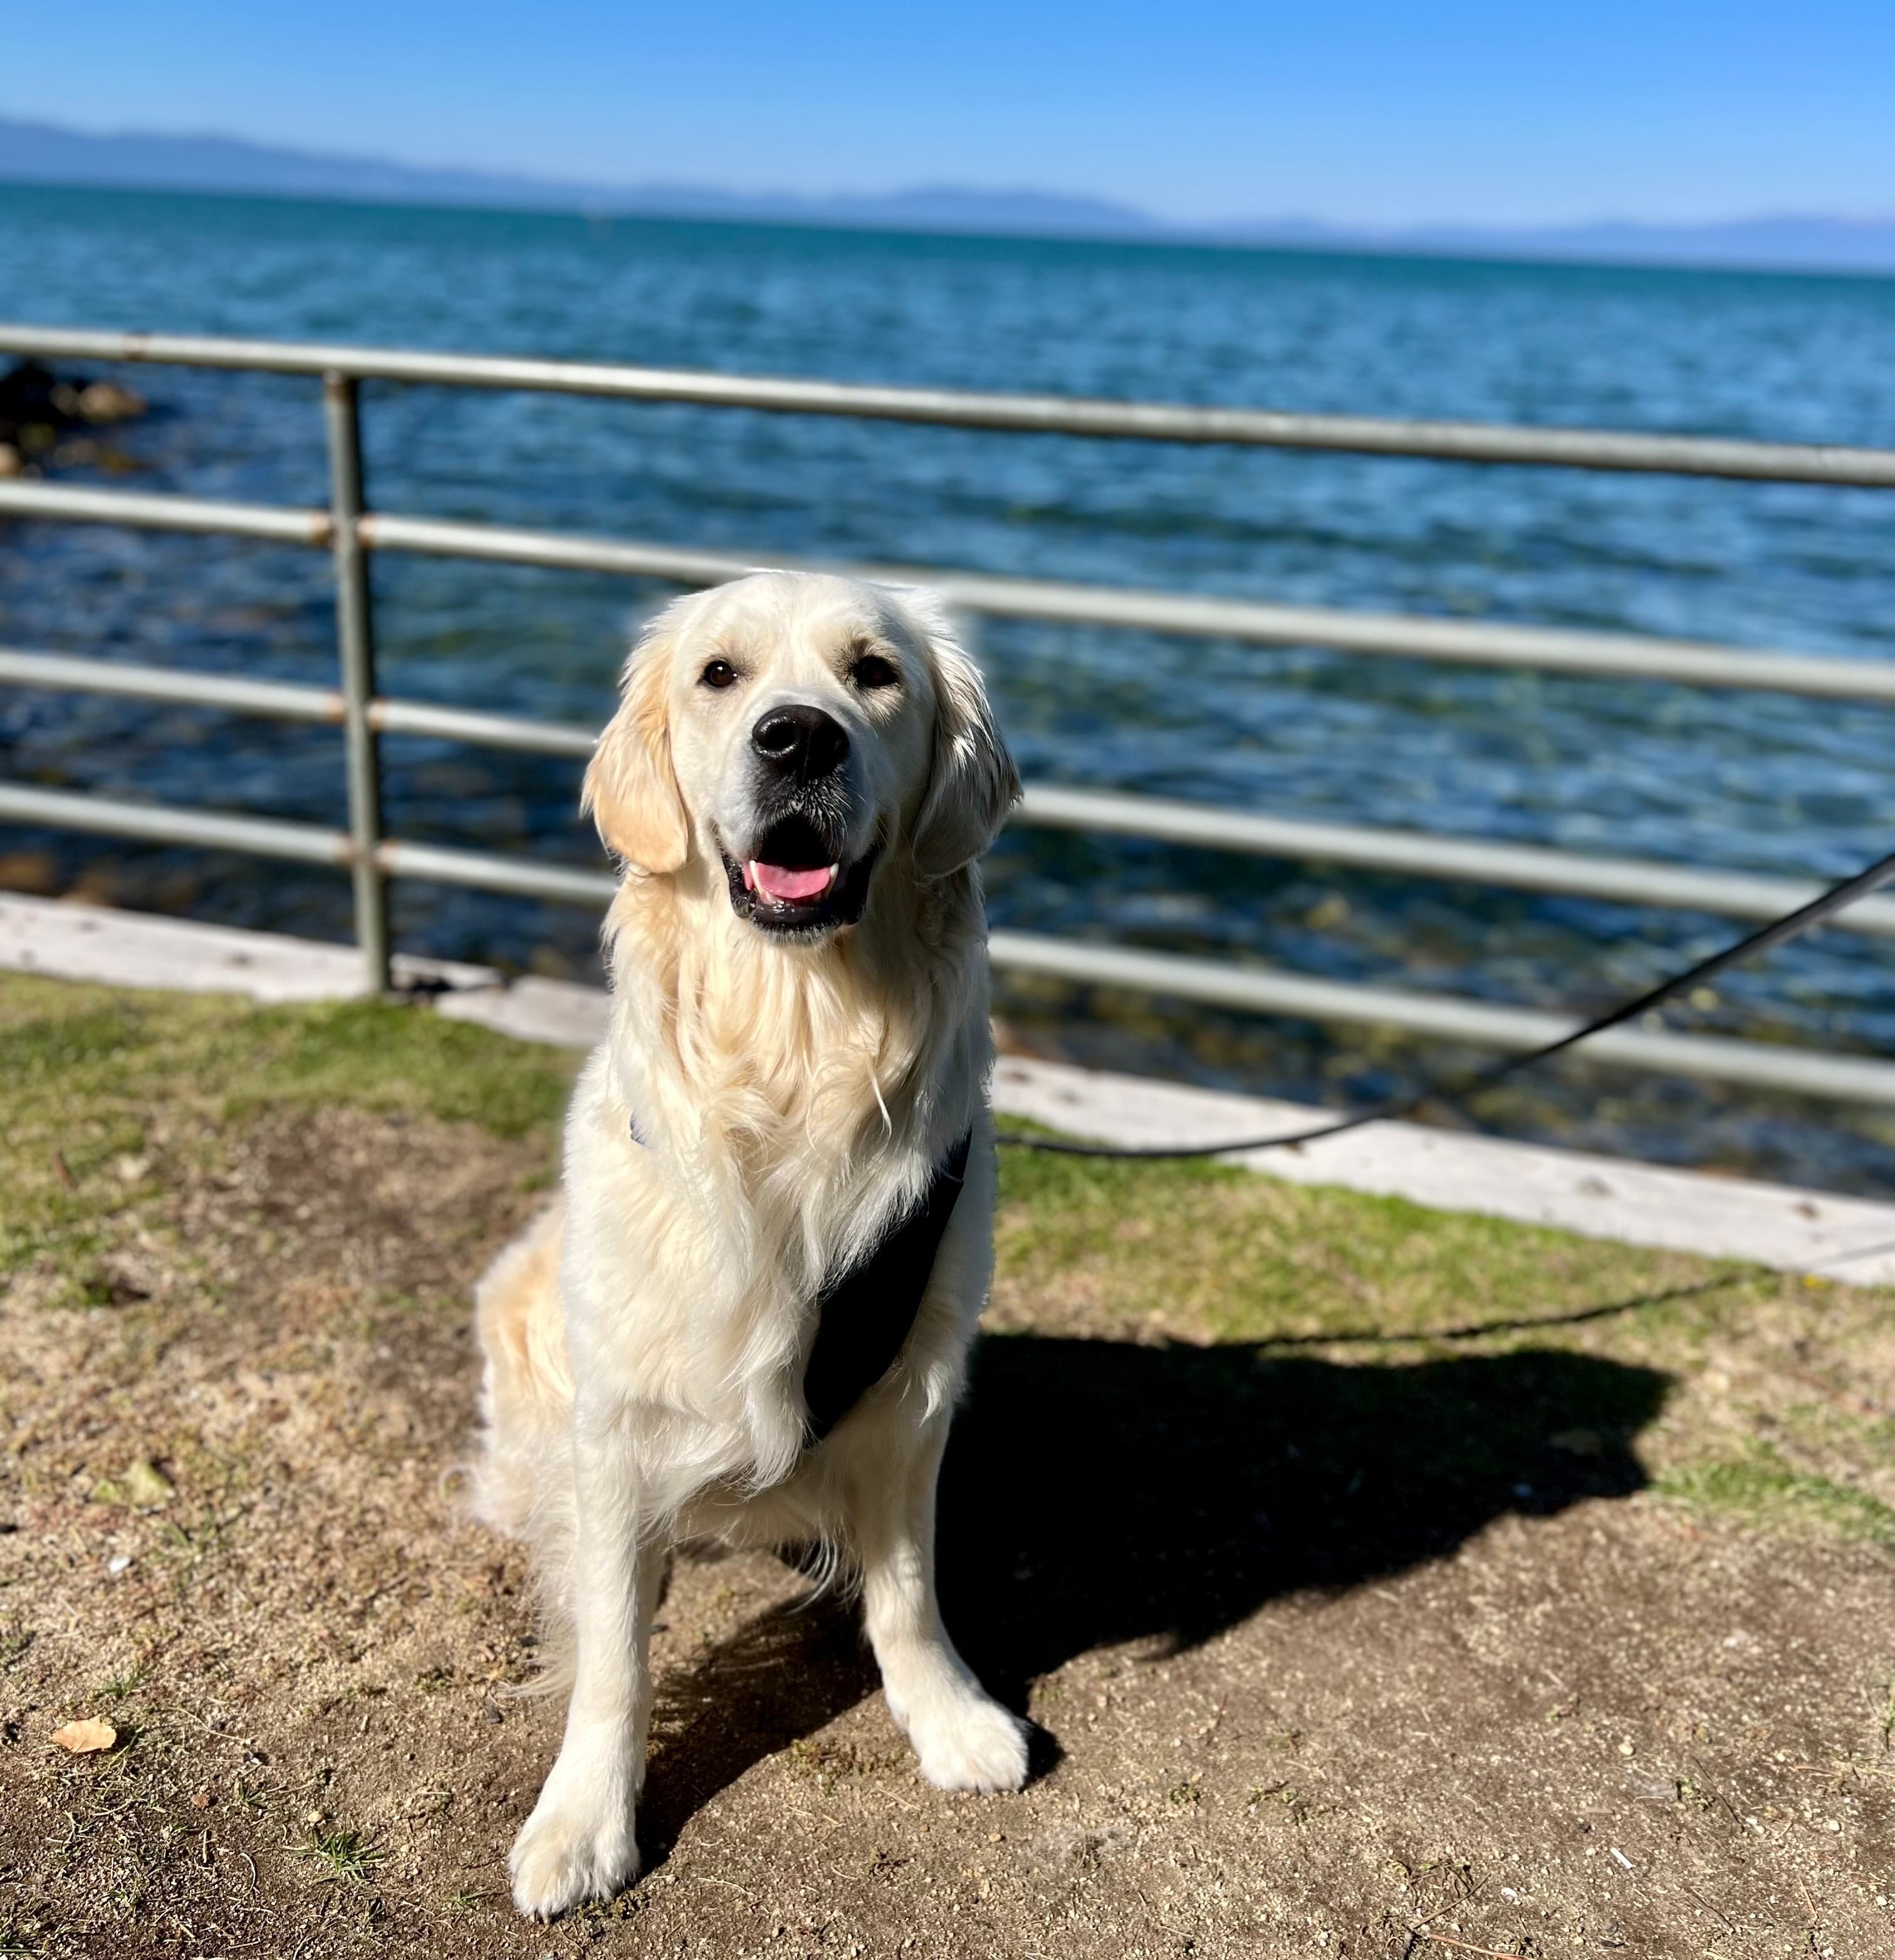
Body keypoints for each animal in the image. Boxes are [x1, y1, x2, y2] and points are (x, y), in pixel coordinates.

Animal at [474, 564, 1035, 1912]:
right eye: (718, 675)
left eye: (873, 672)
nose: (798, 738)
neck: (799, 1039)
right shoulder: (620, 1425)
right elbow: (615, 1657)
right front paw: (584, 1819)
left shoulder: (913, 1392)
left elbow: (907, 1592)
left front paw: (947, 1716)